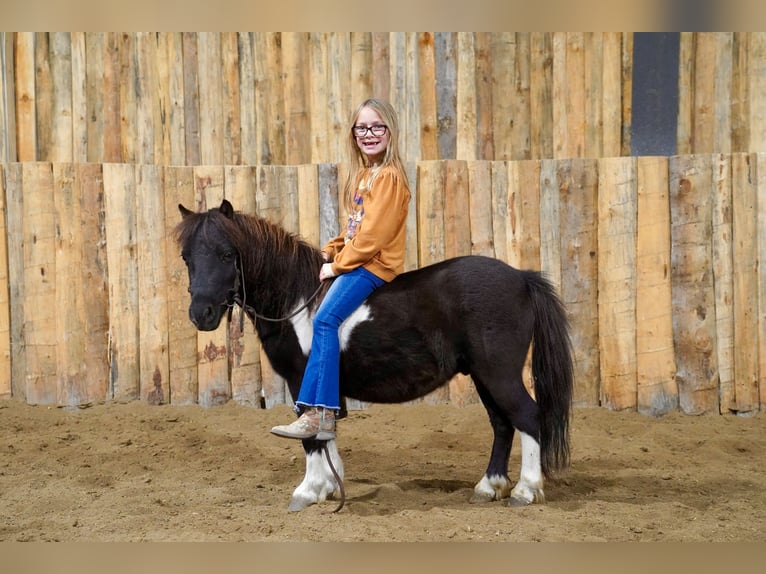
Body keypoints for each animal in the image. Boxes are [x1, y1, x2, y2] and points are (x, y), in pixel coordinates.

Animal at [175, 199, 574, 512]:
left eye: (227, 254)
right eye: (186, 257)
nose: (201, 314)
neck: (297, 301)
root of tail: (521, 277)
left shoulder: (301, 377)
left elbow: (309, 434)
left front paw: (308, 491)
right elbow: (325, 430)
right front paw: (329, 486)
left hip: (498, 372)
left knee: (527, 416)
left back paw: (525, 490)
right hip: (482, 374)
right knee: (502, 423)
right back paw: (489, 487)